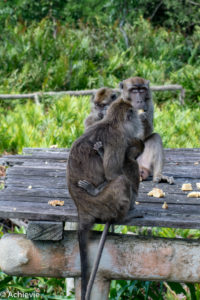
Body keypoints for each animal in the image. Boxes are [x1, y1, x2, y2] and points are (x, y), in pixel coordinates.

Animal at [67, 98, 144, 298]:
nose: (140, 120)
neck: (112, 122)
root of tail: (82, 209)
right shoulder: (119, 140)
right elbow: (111, 174)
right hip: (105, 204)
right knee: (121, 181)